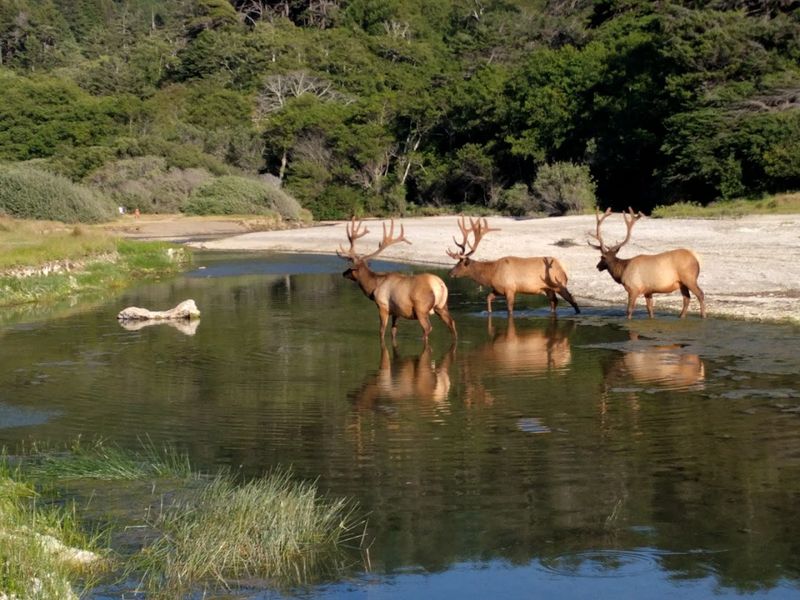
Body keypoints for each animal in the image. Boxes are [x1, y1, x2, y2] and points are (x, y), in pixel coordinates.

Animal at [338, 217, 457, 345]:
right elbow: (393, 331)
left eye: (350, 268)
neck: (374, 287)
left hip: (421, 308)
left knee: (427, 328)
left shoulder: (383, 305)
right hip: (442, 306)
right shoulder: (396, 311)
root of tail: (439, 285)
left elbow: (381, 331)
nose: (343, 273)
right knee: (452, 323)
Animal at [446, 217, 580, 316]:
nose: (450, 273)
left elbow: (510, 310)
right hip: (548, 289)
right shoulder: (498, 289)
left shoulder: (510, 288)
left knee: (572, 300)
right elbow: (488, 298)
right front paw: (489, 312)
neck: (491, 274)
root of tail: (563, 268)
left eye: (460, 264)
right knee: (554, 302)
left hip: (559, 284)